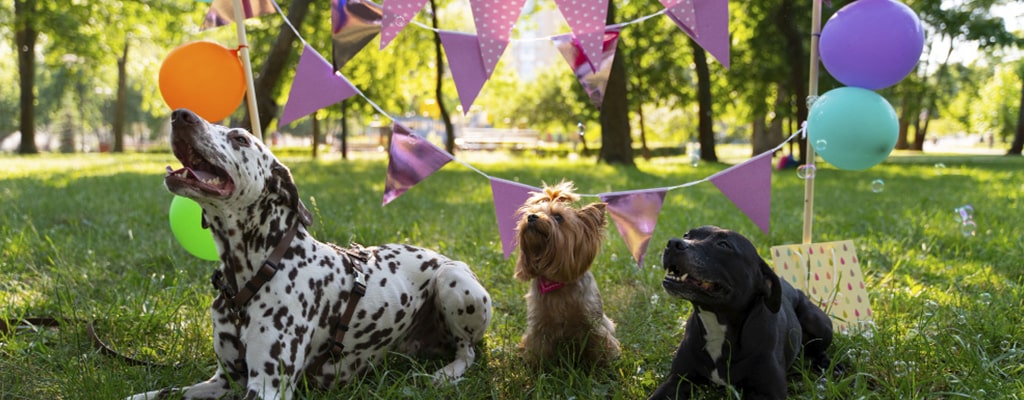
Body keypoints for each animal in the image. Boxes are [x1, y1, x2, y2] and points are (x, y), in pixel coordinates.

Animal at [125, 107, 493, 398]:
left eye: (240, 138)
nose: (180, 114)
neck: (259, 268)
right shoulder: (223, 381)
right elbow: (160, 394)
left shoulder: (267, 387)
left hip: (454, 283)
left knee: (468, 351)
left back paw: (446, 373)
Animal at [651, 227, 835, 398]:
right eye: (687, 235)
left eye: (723, 244)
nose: (673, 243)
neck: (717, 324)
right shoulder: (678, 379)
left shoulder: (770, 393)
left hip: (816, 321)